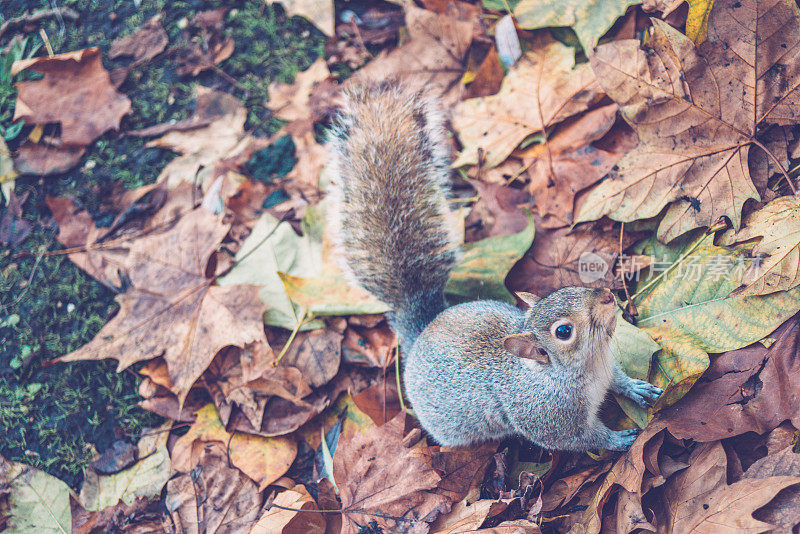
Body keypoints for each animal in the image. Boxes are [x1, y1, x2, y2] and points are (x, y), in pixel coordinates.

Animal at [326, 82, 664, 452]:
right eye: (563, 332)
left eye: (565, 289)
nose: (606, 297)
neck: (589, 366)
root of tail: (418, 336)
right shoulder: (550, 418)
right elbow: (582, 439)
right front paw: (617, 440)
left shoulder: (606, 370)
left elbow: (618, 379)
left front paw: (634, 387)